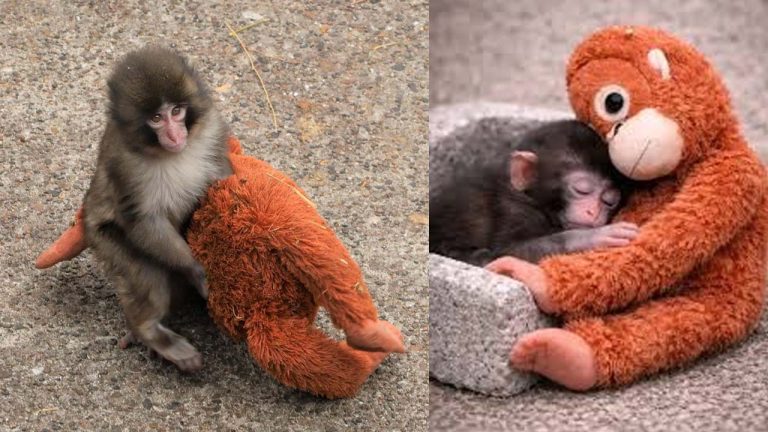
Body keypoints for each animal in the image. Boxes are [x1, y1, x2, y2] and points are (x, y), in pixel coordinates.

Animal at [82, 46, 233, 371]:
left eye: (176, 111)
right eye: (155, 118)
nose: (175, 135)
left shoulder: (212, 129)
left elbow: (223, 177)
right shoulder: (124, 164)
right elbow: (143, 221)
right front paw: (197, 271)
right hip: (103, 240)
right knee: (148, 275)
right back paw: (149, 332)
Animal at [429, 120, 638, 266]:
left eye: (609, 201)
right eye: (581, 190)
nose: (592, 212)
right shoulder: (513, 209)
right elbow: (508, 252)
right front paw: (593, 237)